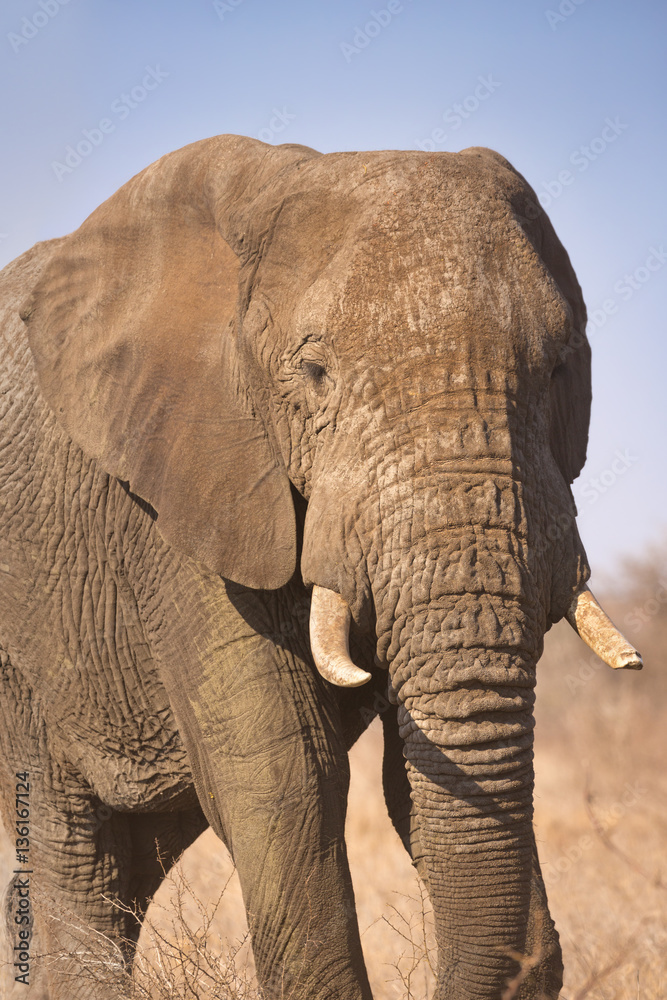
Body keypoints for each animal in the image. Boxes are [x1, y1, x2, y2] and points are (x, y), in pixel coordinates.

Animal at [0, 135, 640, 1000]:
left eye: (560, 370)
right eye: (313, 376)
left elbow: (417, 777)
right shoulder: (186, 493)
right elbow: (287, 770)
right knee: (74, 850)